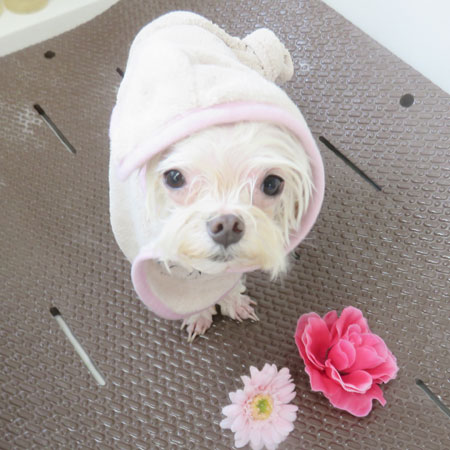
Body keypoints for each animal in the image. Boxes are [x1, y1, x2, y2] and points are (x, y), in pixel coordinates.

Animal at [109, 12, 324, 341]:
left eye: (272, 184)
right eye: (174, 177)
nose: (227, 225)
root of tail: (175, 15)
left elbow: (228, 280)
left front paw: (232, 300)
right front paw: (198, 313)